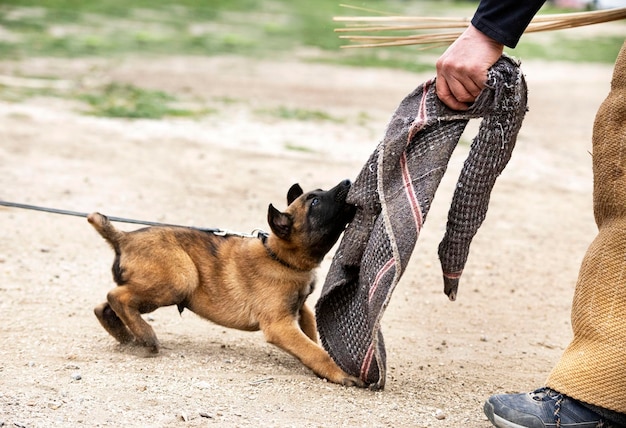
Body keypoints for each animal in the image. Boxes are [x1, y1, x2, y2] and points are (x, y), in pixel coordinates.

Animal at [86, 181, 360, 388]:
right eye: (314, 203)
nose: (348, 182)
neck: (279, 256)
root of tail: (124, 237)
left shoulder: (299, 310)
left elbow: (311, 338)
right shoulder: (280, 325)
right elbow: (315, 350)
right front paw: (340, 372)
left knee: (106, 306)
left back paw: (127, 337)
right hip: (181, 279)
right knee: (116, 296)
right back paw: (145, 336)